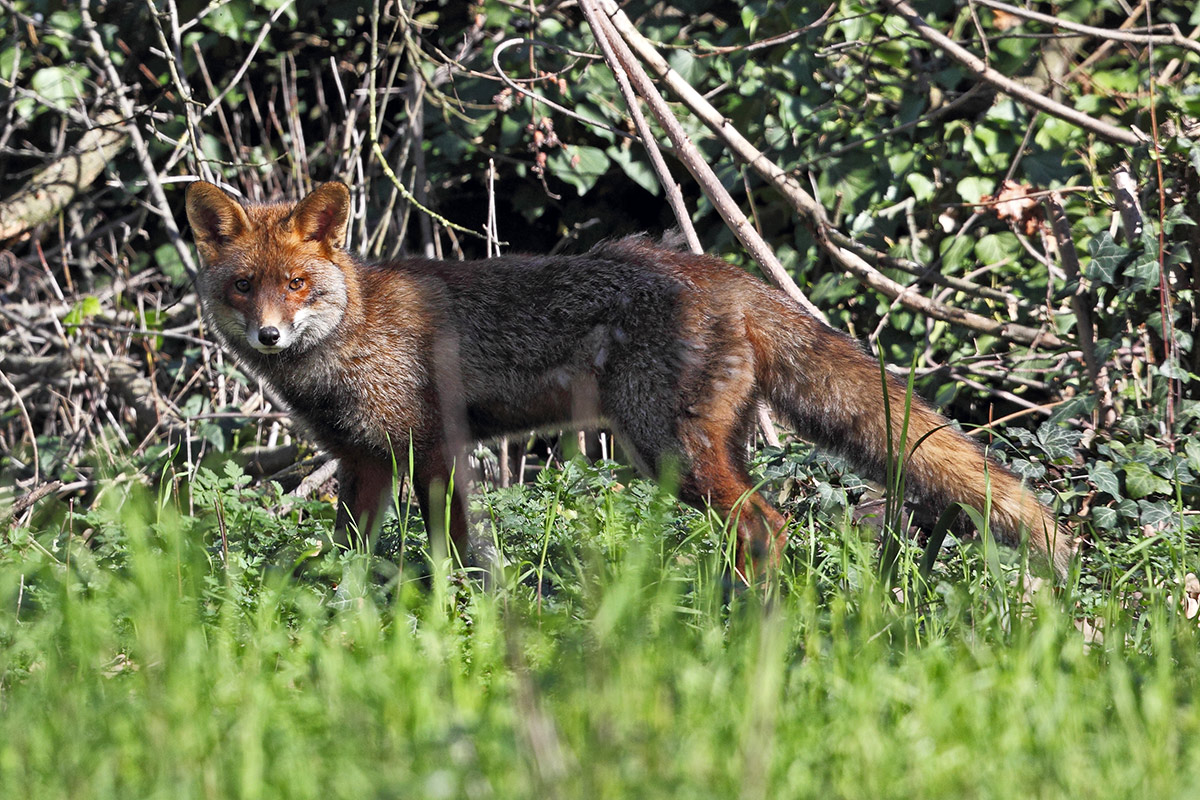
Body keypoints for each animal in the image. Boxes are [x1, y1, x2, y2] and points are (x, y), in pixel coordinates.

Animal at [184, 180, 1074, 580]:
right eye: (244, 286)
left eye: (296, 285)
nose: (267, 334)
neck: (352, 333)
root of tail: (725, 273)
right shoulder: (364, 461)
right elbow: (353, 553)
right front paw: (346, 611)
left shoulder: (431, 448)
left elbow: (454, 550)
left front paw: (457, 610)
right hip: (700, 449)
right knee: (765, 525)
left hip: (669, 449)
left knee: (768, 526)